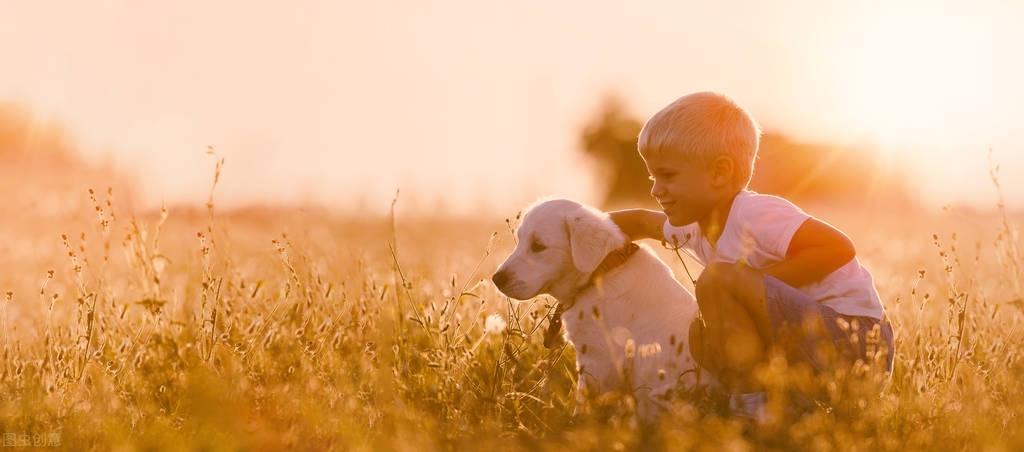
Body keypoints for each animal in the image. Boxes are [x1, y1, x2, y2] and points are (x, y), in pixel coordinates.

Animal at [493, 196, 704, 420]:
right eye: (520, 241)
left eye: (538, 246)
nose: (496, 279)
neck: (599, 274)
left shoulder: (598, 360)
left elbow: (584, 403)